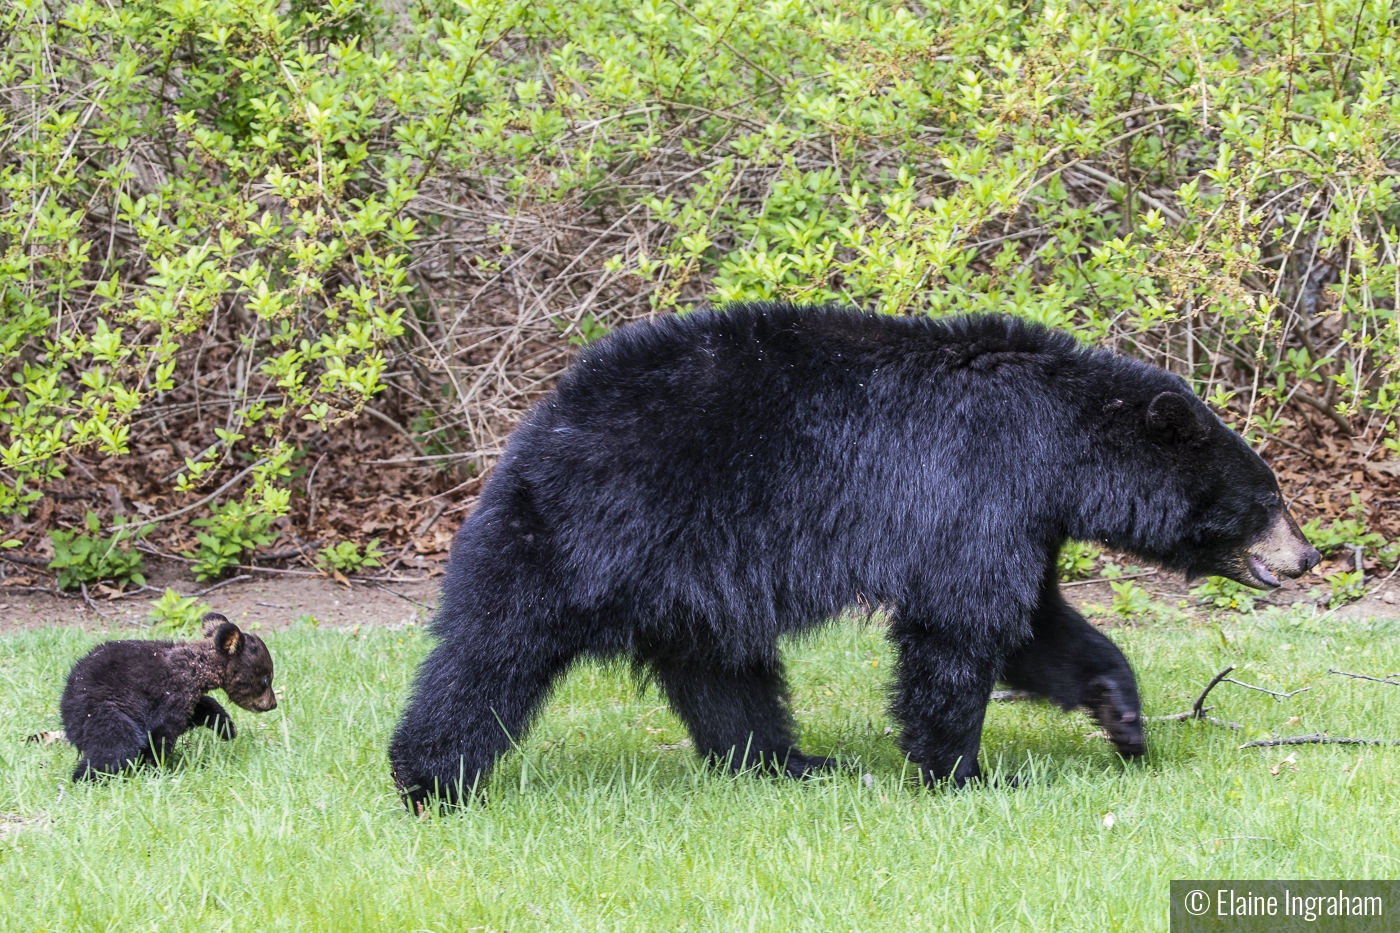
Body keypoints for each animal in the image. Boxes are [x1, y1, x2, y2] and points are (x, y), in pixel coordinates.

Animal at [61, 610, 277, 778]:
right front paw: (154, 767)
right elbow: (161, 731)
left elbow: (202, 707)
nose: (273, 704)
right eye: (266, 679)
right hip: (101, 710)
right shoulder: (172, 694)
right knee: (115, 745)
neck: (197, 667)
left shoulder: (188, 695)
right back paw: (85, 777)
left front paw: (226, 728)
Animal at [389, 301, 1316, 801]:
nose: (1307, 557)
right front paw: (963, 770)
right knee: (496, 644)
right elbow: (959, 628)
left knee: (724, 674)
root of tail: (543, 420)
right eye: (1270, 499)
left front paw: (1121, 715)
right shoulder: (982, 482)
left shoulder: (1023, 515)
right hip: (592, 528)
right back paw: (428, 777)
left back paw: (788, 761)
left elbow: (1036, 625)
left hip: (696, 575)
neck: (1063, 447)